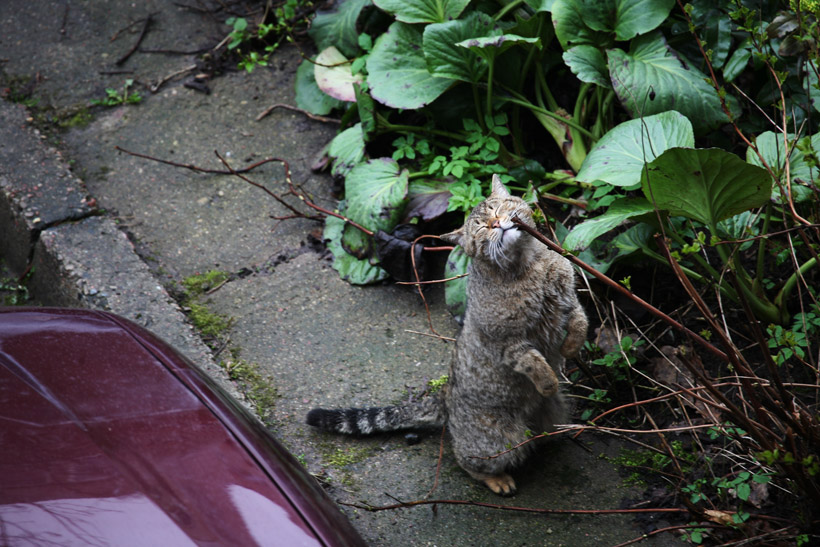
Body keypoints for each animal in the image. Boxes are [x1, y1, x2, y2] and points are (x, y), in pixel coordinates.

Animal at [307, 174, 588, 495]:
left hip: (554, 415)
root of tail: (445, 397)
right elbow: (534, 363)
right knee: (467, 459)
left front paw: (570, 348)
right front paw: (548, 381)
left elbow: (581, 320)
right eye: (480, 227)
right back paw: (497, 479)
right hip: (497, 438)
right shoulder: (506, 342)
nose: (496, 223)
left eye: (496, 208)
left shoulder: (568, 298)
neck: (529, 263)